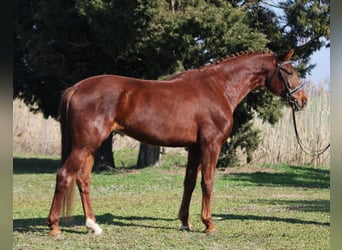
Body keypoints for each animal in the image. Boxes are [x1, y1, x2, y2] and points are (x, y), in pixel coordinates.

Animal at [47, 49, 308, 235]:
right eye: (289, 72)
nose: (303, 100)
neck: (219, 87)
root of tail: (76, 88)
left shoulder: (194, 148)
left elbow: (189, 183)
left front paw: (185, 222)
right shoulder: (211, 145)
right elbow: (207, 183)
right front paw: (209, 225)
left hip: (89, 147)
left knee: (83, 180)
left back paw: (93, 225)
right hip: (84, 145)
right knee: (64, 175)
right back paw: (55, 227)